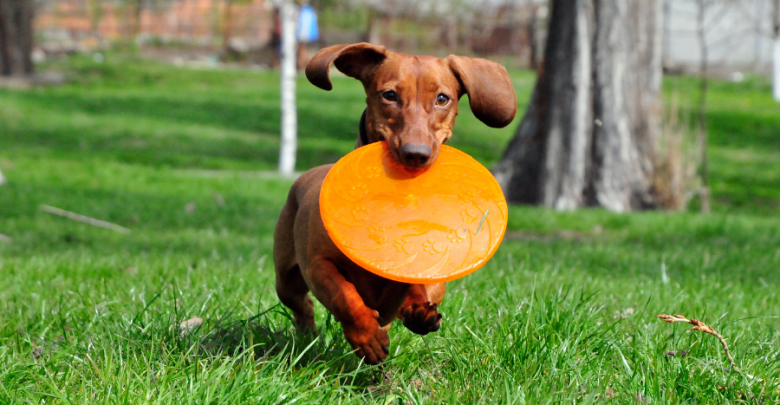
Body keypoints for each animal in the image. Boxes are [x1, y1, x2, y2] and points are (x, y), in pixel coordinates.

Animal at [274, 43, 516, 362]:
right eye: (389, 95)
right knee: (302, 305)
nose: (416, 153)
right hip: (286, 279)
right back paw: (308, 336)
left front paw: (419, 311)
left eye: (442, 98)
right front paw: (366, 336)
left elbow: (423, 287)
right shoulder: (318, 265)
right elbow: (345, 296)